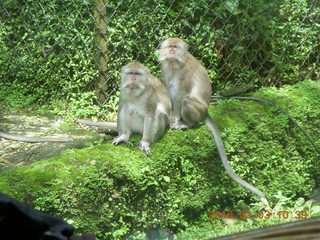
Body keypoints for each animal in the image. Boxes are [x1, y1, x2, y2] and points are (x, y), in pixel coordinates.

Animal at [158, 38, 264, 199]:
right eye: (170, 46)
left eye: (175, 47)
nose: (171, 52)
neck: (174, 64)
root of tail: (206, 111)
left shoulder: (184, 73)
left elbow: (181, 94)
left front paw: (173, 121)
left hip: (198, 110)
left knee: (186, 100)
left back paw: (188, 124)